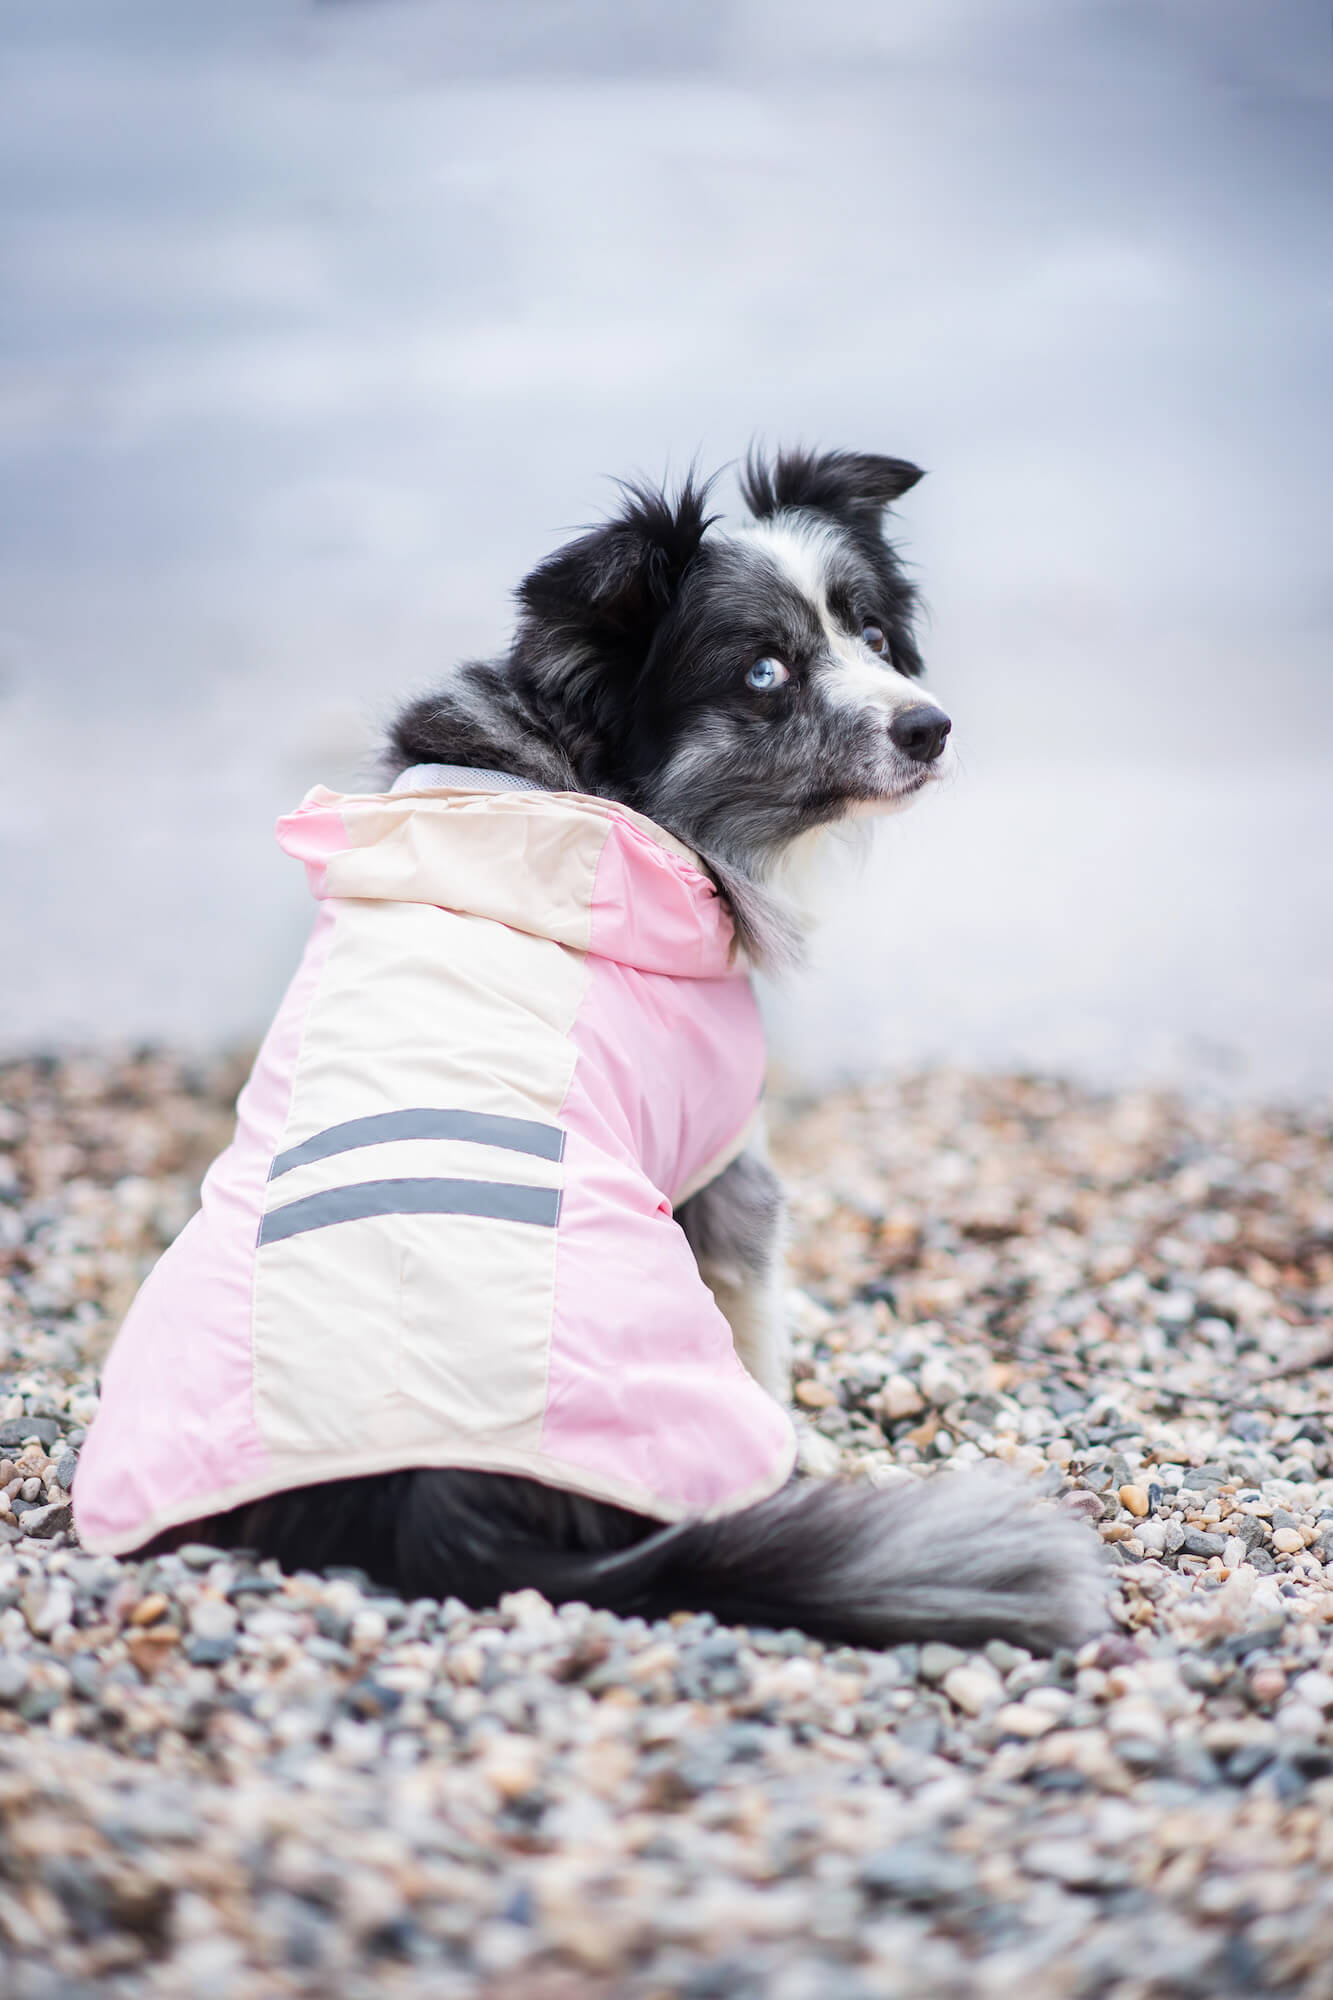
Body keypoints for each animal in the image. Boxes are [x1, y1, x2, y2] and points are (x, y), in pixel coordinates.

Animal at [80, 454, 1096, 1656]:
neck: (583, 790)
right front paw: (797, 1424)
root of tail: (435, 1502)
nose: (929, 726)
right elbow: (758, 1323)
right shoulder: (731, 1167)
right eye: (764, 671)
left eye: (874, 635)